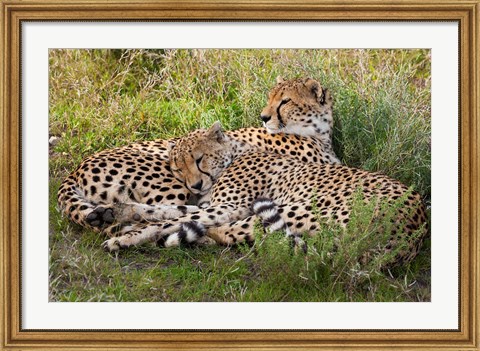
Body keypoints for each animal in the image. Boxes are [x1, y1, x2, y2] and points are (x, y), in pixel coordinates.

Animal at [103, 122, 426, 268]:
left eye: (198, 159)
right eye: (178, 168)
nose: (194, 186)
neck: (235, 154)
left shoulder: (230, 206)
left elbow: (171, 219)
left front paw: (125, 236)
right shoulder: (216, 203)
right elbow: (170, 211)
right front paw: (116, 213)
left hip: (296, 209)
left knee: (235, 233)